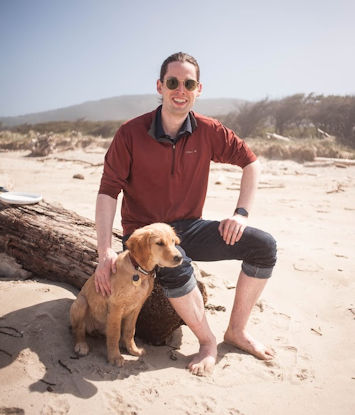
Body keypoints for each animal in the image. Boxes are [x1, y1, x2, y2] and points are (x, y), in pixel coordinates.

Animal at [69, 224, 182, 368]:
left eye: (173, 241)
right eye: (160, 243)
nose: (179, 258)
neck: (139, 271)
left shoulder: (137, 306)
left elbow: (129, 330)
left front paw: (133, 350)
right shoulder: (116, 306)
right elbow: (114, 334)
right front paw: (115, 357)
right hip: (81, 303)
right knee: (78, 329)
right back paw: (81, 345)